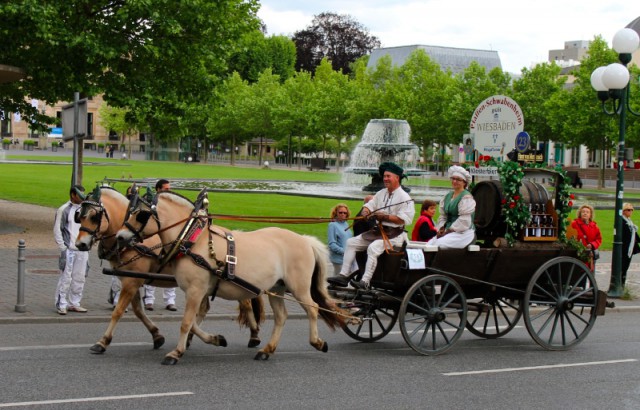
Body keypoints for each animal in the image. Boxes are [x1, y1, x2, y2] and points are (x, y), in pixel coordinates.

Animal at [75, 187, 262, 354]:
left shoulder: (132, 281)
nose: (80, 244)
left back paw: (254, 335)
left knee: (245, 303)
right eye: (78, 217)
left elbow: (118, 311)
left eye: (93, 216)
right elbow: (138, 311)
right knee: (205, 308)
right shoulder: (130, 279)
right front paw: (157, 336)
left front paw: (103, 341)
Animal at [116, 190, 344, 366]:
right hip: (277, 288)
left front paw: (175, 353)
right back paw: (267, 350)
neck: (193, 239)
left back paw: (317, 342)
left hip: (298, 287)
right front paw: (216, 339)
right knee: (281, 317)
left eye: (141, 215)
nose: (120, 237)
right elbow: (193, 323)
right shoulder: (198, 292)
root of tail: (305, 240)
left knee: (313, 309)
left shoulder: (195, 290)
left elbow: (186, 322)